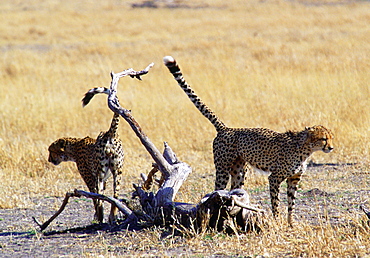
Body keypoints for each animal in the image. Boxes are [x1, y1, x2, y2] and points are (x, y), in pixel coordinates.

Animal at [163, 56, 334, 224]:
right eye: (323, 139)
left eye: (331, 138)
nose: (331, 148)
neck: (305, 149)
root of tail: (226, 129)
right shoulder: (274, 178)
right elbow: (276, 203)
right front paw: (277, 220)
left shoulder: (294, 179)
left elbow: (291, 203)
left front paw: (291, 224)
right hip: (223, 168)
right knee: (217, 189)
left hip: (239, 171)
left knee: (234, 190)